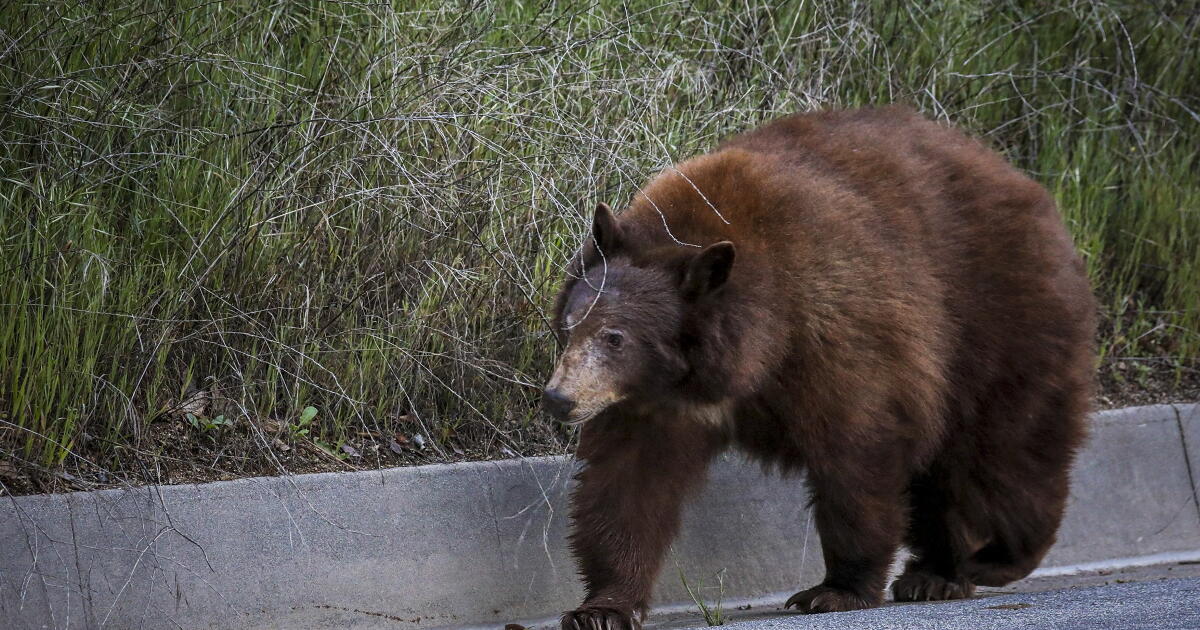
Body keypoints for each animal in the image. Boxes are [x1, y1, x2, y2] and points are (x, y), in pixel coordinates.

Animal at [543, 105, 1095, 630]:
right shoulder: (649, 400)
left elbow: (856, 451)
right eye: (568, 325)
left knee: (1003, 451)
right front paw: (602, 607)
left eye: (615, 337)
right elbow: (626, 485)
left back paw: (997, 557)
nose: (558, 399)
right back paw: (935, 573)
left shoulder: (834, 331)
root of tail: (1018, 179)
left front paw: (836, 589)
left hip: (997, 320)